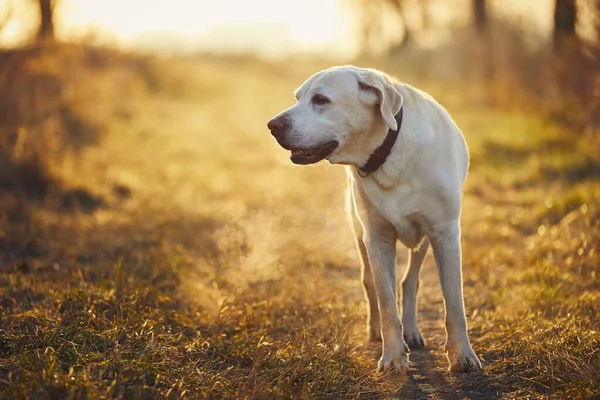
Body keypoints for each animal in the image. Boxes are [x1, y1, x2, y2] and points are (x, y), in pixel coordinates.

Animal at [268, 64, 482, 374]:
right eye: (297, 98)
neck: (387, 154)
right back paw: (378, 330)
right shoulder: (377, 236)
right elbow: (386, 302)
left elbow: (454, 302)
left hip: (425, 240)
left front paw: (462, 355)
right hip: (359, 233)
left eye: (320, 100)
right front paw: (393, 356)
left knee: (410, 281)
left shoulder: (445, 234)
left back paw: (413, 331)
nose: (272, 125)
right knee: (372, 282)